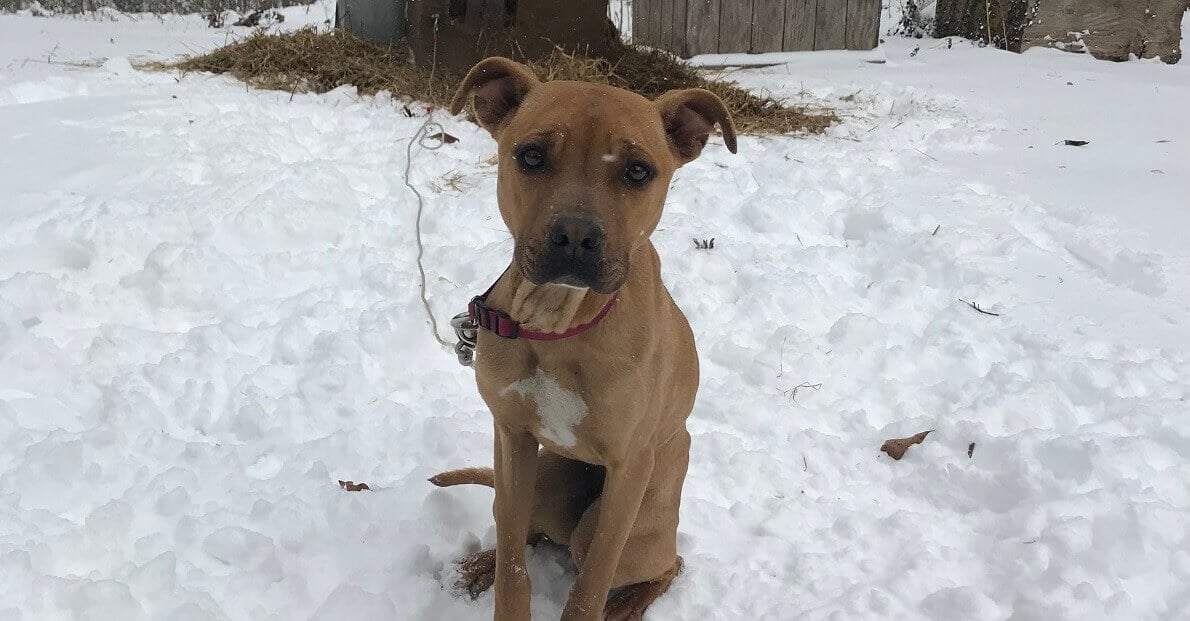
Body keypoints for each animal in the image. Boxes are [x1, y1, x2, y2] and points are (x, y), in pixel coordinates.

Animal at [433, 55, 733, 613]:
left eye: (638, 170)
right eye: (531, 156)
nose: (575, 236)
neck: (560, 322)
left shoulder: (628, 471)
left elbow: (590, 584)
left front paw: (597, 602)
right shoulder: (511, 438)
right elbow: (513, 562)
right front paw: (502, 585)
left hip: (635, 524)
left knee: (665, 562)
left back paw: (629, 604)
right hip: (547, 478)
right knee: (527, 527)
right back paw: (479, 564)